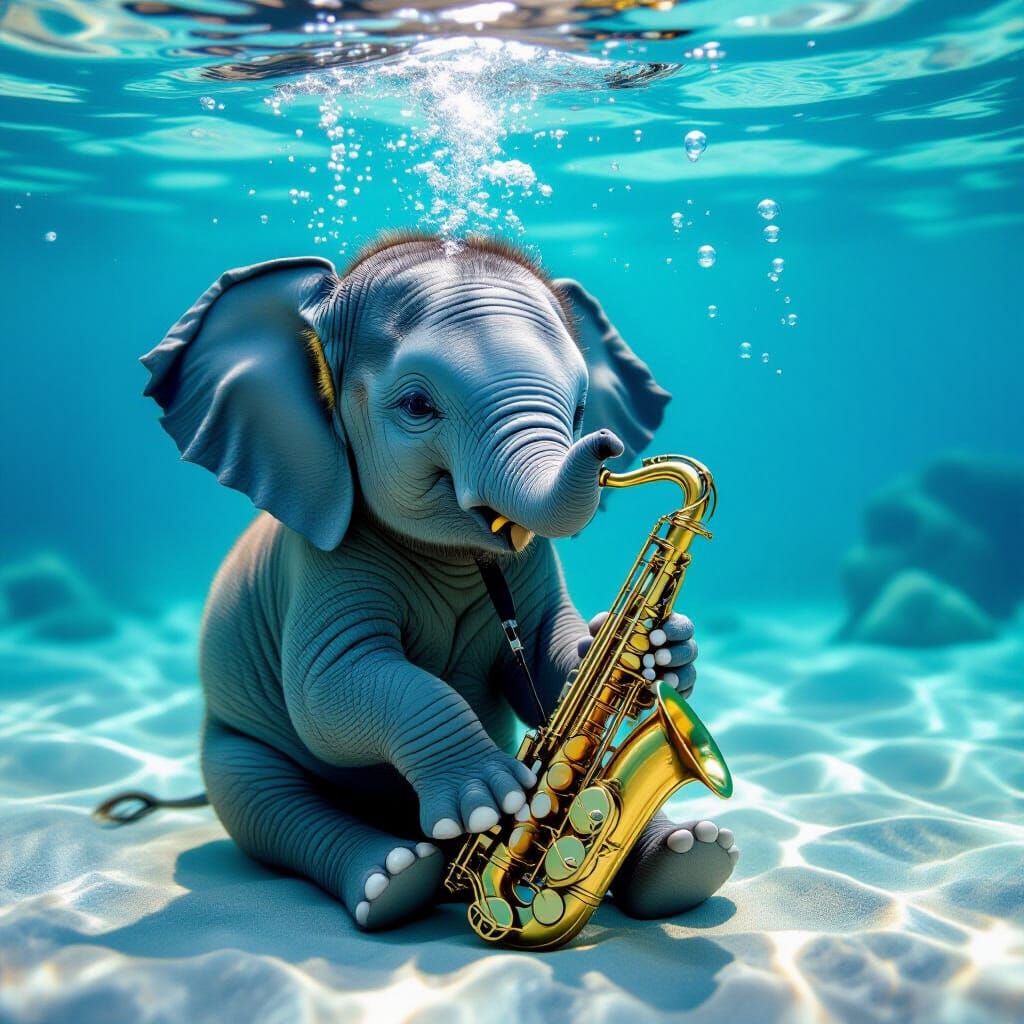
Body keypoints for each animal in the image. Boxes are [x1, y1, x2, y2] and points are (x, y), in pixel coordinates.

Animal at [140, 232, 739, 932]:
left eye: (582, 405)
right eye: (417, 406)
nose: (606, 448)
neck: (454, 553)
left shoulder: (530, 566)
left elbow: (549, 660)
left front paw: (665, 652)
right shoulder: (317, 564)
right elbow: (334, 692)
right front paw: (491, 796)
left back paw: (686, 855)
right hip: (234, 756)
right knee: (276, 812)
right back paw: (392, 878)